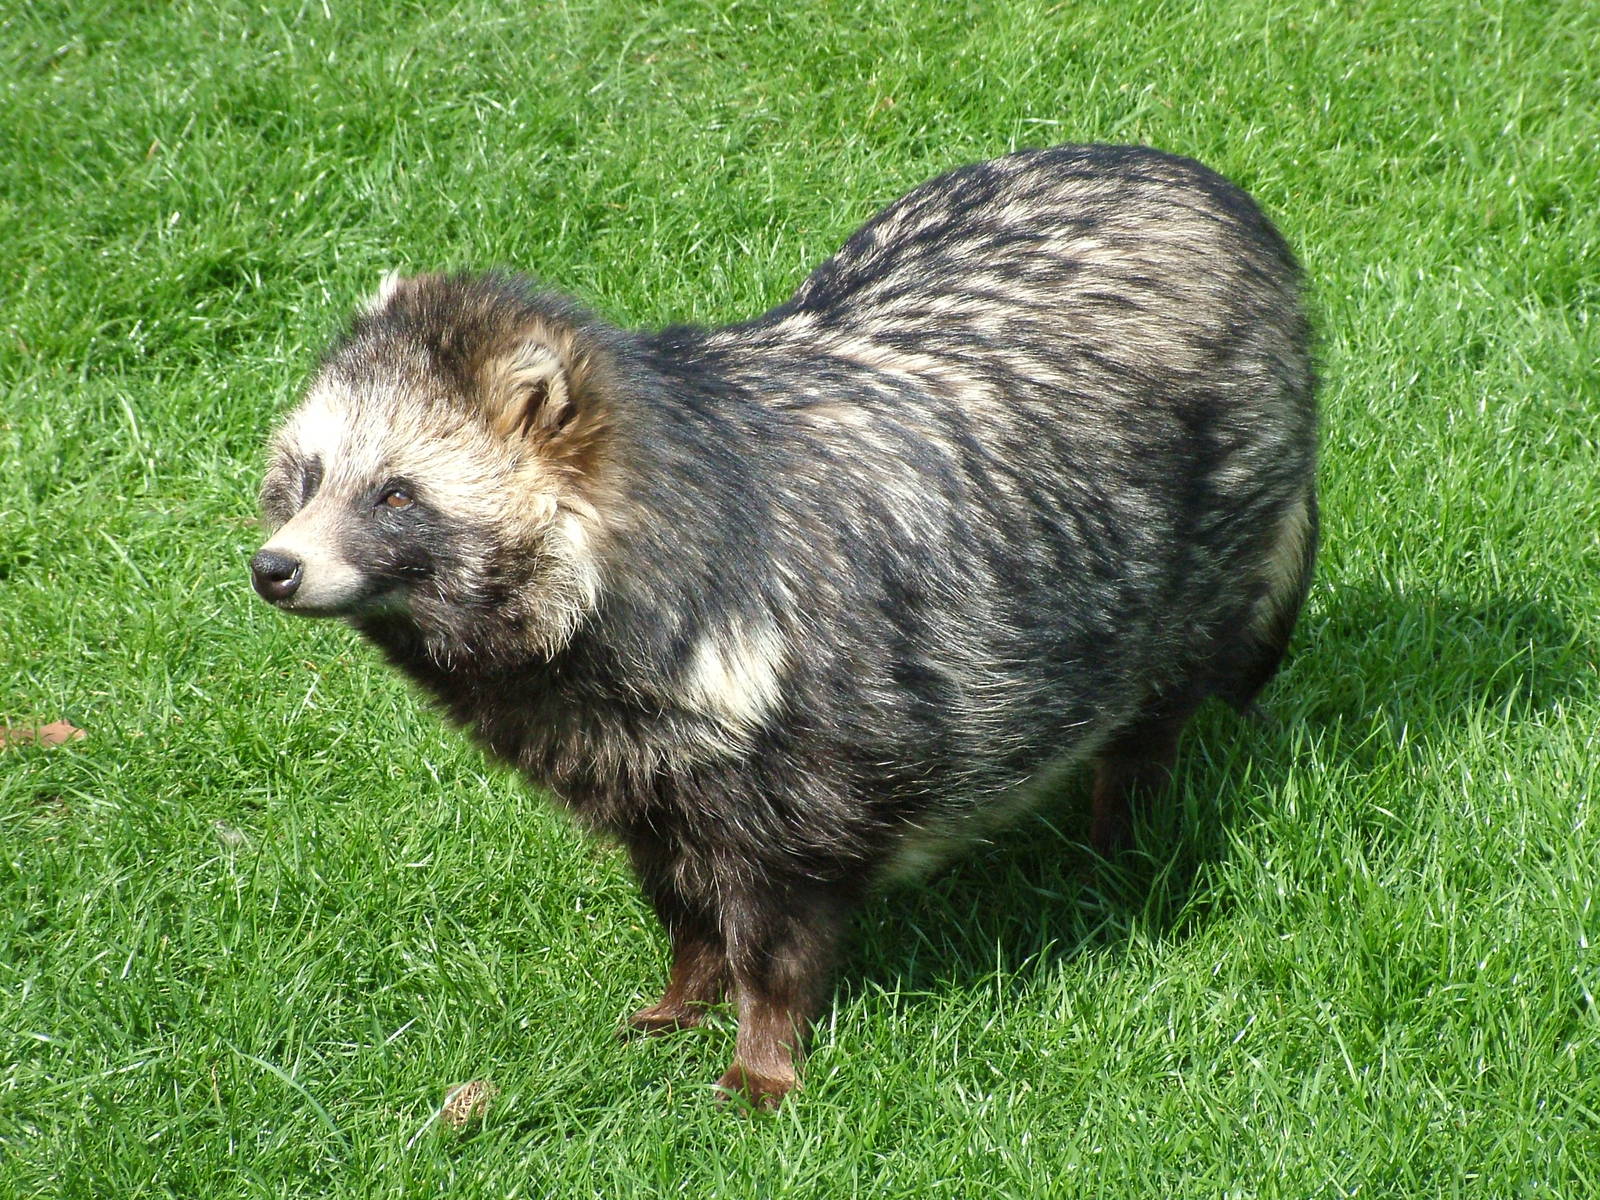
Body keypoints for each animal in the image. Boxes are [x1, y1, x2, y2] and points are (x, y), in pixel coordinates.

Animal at [251, 144, 1316, 1108]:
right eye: (305, 478)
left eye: (395, 494)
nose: (274, 569)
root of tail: (1191, 179)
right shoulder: (639, 760)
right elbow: (679, 892)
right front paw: (686, 991)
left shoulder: (815, 737)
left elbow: (783, 922)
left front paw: (762, 1050)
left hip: (1215, 517)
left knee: (1154, 705)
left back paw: (1123, 826)